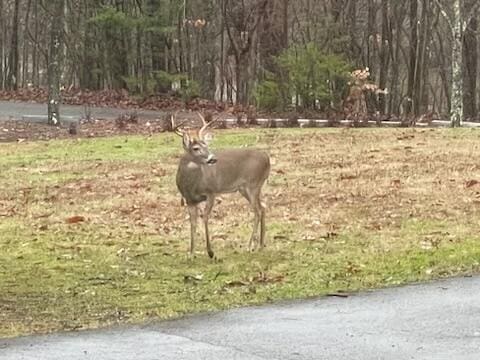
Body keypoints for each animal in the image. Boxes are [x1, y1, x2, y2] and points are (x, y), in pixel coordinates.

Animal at [173, 114, 272, 258]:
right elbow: (193, 223)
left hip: (253, 184)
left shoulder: (211, 191)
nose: (212, 159)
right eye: (196, 148)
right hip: (246, 188)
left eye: (206, 145)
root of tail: (267, 158)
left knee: (258, 210)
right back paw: (260, 245)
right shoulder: (189, 200)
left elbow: (205, 218)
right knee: (263, 206)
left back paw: (249, 246)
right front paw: (191, 254)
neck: (192, 184)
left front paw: (210, 252)